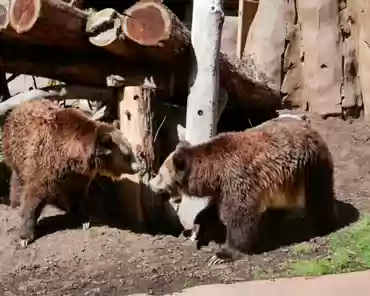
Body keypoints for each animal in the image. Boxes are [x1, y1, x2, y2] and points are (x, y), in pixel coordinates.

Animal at [2, 99, 143, 247]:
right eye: (126, 155)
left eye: (130, 149)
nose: (139, 167)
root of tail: (20, 106)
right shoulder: (44, 163)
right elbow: (33, 197)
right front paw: (25, 236)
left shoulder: (78, 176)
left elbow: (77, 196)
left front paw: (84, 219)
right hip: (16, 150)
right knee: (18, 179)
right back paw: (15, 201)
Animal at [148, 117, 338, 264]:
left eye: (160, 173)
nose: (151, 183)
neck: (214, 171)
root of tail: (309, 126)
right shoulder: (222, 189)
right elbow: (210, 212)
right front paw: (197, 230)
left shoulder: (238, 179)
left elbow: (239, 216)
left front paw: (222, 255)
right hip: (284, 179)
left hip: (310, 164)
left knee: (319, 194)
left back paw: (323, 224)